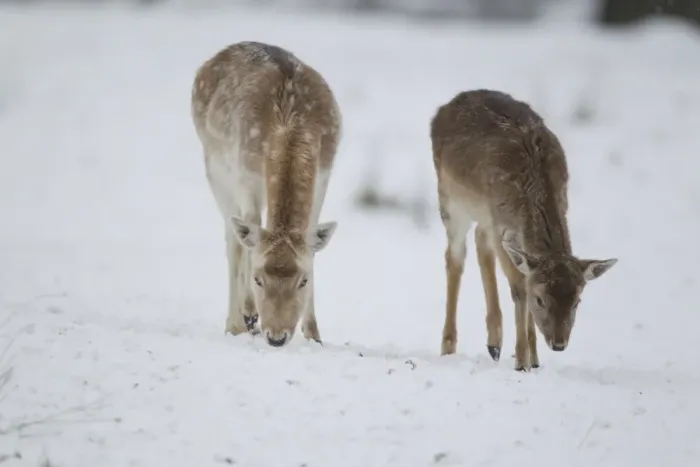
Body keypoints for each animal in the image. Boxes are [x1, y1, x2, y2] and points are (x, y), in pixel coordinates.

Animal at [190, 41, 341, 348]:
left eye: (303, 280)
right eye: (258, 279)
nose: (277, 337)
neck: (290, 124)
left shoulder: (323, 176)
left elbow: (313, 247)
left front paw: (314, 335)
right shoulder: (245, 175)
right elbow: (250, 233)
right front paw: (249, 313)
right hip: (214, 171)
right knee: (232, 241)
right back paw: (235, 324)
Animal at [430, 89, 618, 371]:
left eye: (577, 301)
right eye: (539, 299)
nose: (559, 344)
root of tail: (447, 106)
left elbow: (521, 276)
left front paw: (534, 358)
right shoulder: (500, 224)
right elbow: (519, 286)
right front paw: (522, 361)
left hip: (483, 215)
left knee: (480, 243)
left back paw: (494, 344)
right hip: (449, 199)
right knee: (455, 257)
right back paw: (449, 347)